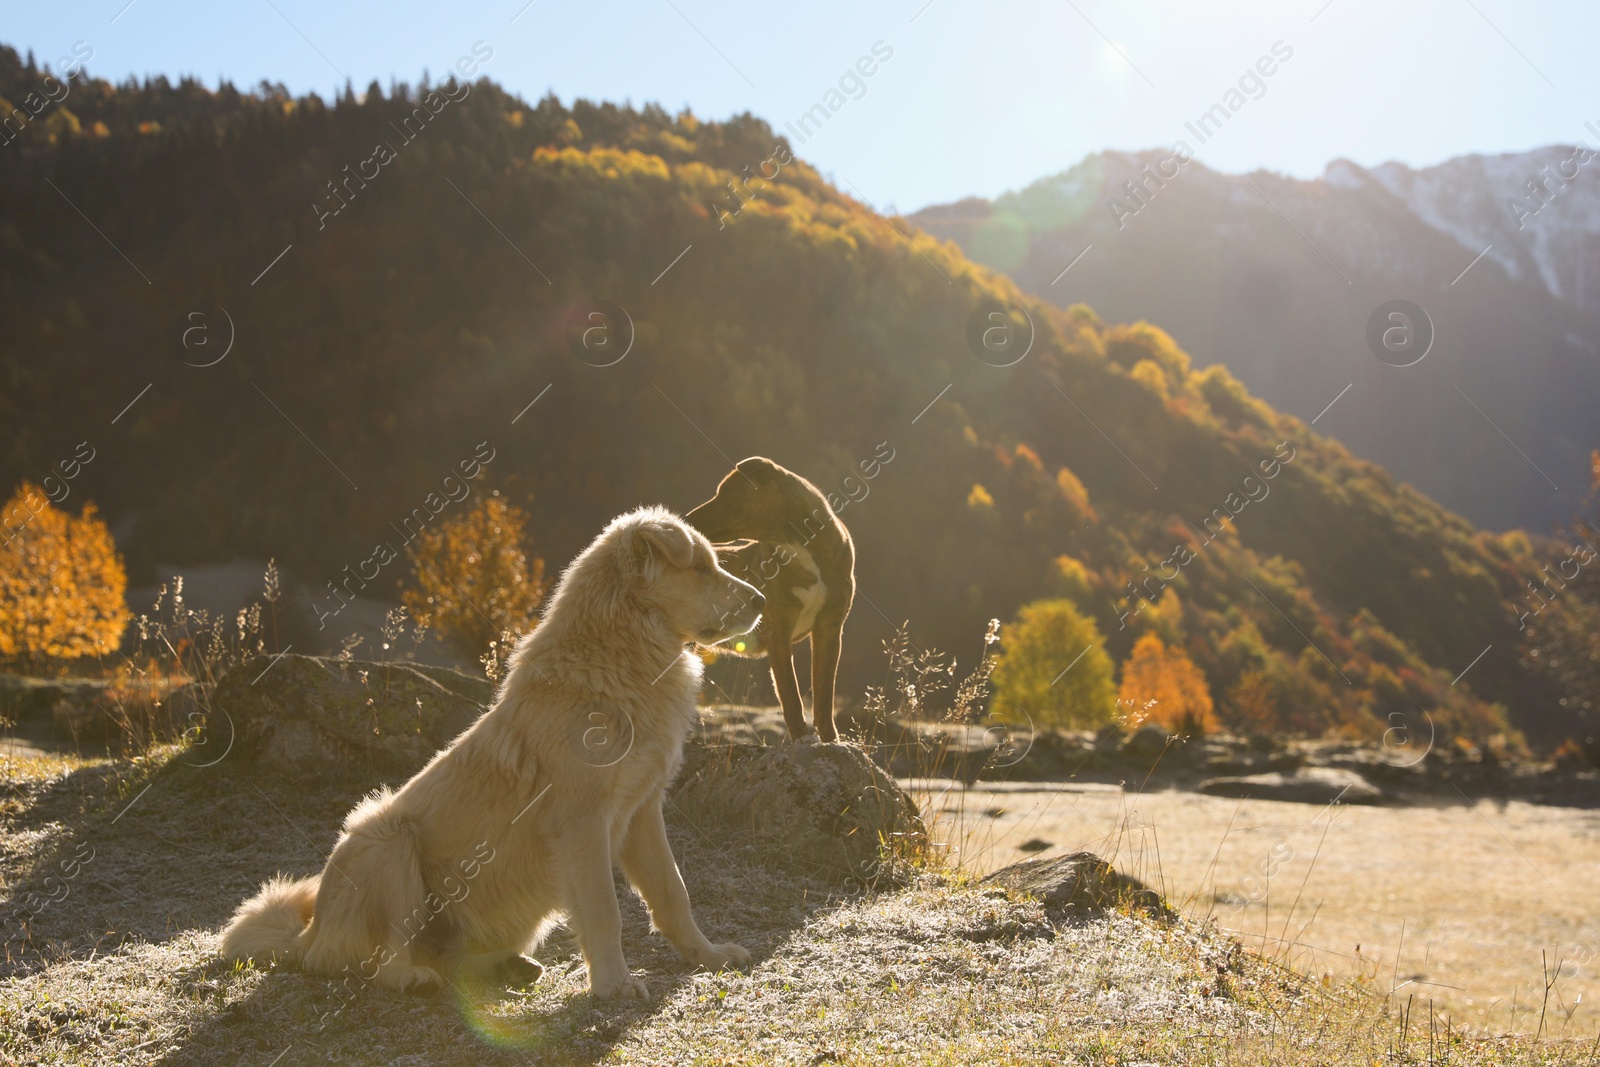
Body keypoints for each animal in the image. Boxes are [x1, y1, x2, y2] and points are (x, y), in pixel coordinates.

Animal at [219, 508, 761, 1004]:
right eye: (701, 568)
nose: (760, 600)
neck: (618, 660)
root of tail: (308, 937)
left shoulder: (642, 811)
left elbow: (673, 894)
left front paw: (708, 957)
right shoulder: (583, 822)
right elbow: (604, 911)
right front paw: (615, 986)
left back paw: (508, 968)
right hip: (383, 837)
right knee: (378, 958)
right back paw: (413, 978)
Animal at [688, 457, 864, 742]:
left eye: (726, 493)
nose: (686, 519)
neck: (799, 548)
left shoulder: (829, 628)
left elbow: (824, 696)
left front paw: (829, 741)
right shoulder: (778, 631)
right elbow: (791, 696)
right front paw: (802, 739)